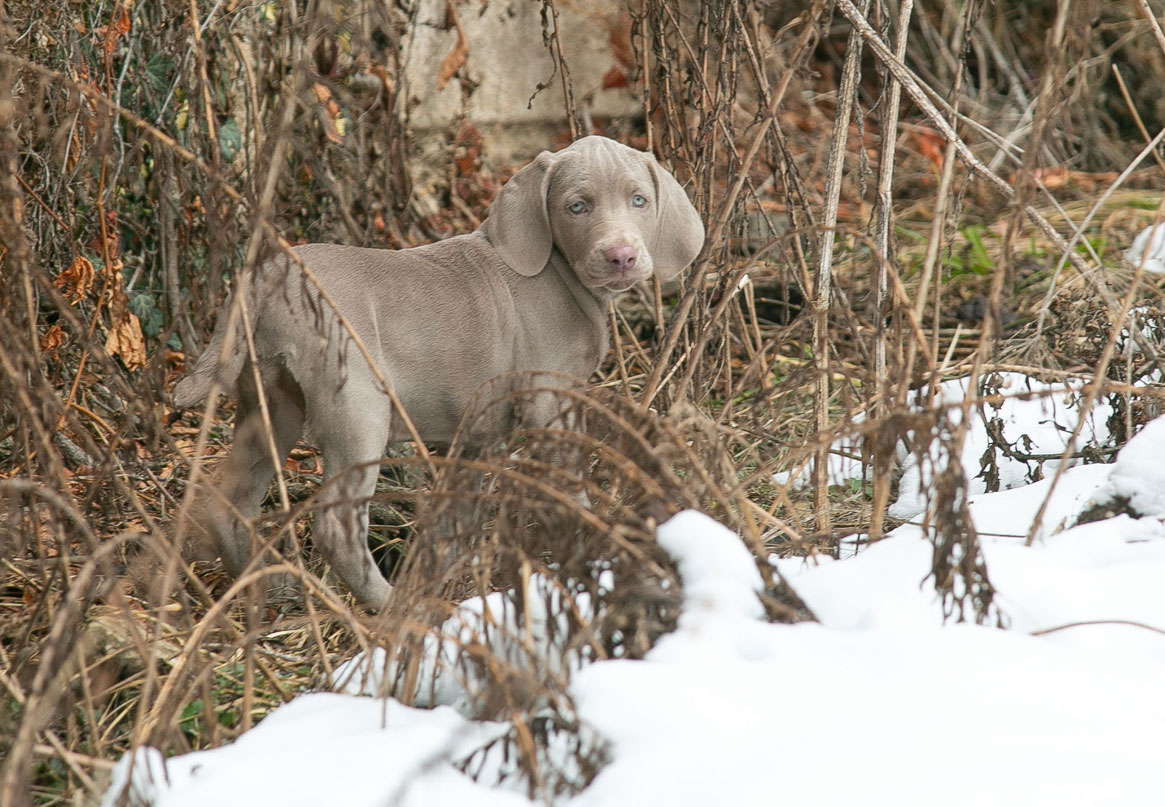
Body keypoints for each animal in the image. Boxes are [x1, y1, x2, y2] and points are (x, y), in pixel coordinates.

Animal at [171, 135, 699, 605]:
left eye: (639, 200)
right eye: (576, 207)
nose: (621, 257)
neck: (557, 271)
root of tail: (262, 277)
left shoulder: (474, 434)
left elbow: (455, 520)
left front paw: (448, 575)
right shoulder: (549, 402)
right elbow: (570, 487)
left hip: (270, 400)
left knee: (230, 499)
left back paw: (265, 589)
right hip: (357, 406)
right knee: (336, 527)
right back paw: (391, 608)